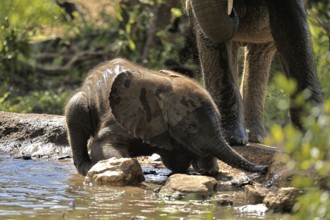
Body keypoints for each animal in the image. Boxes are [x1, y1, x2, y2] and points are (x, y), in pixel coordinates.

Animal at [65, 57, 268, 176]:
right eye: (191, 127)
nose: (264, 169)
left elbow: (176, 160)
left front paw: (204, 168)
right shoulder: (122, 119)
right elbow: (100, 147)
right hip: (84, 100)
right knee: (75, 108)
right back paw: (86, 168)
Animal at [187, 0, 324, 144]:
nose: (232, 13)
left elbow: (292, 25)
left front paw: (312, 138)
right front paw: (232, 139)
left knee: (261, 50)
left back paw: (257, 137)